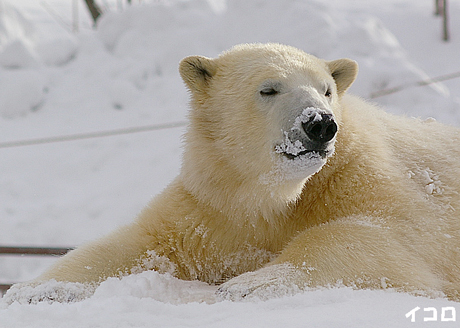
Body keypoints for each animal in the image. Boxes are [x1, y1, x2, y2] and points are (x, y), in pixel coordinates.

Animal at [5, 42, 460, 304]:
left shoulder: (362, 178)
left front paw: (248, 284)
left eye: (326, 89)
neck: (280, 194)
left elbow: (385, 239)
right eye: (269, 88)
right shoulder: (214, 209)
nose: (320, 123)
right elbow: (141, 245)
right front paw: (35, 291)